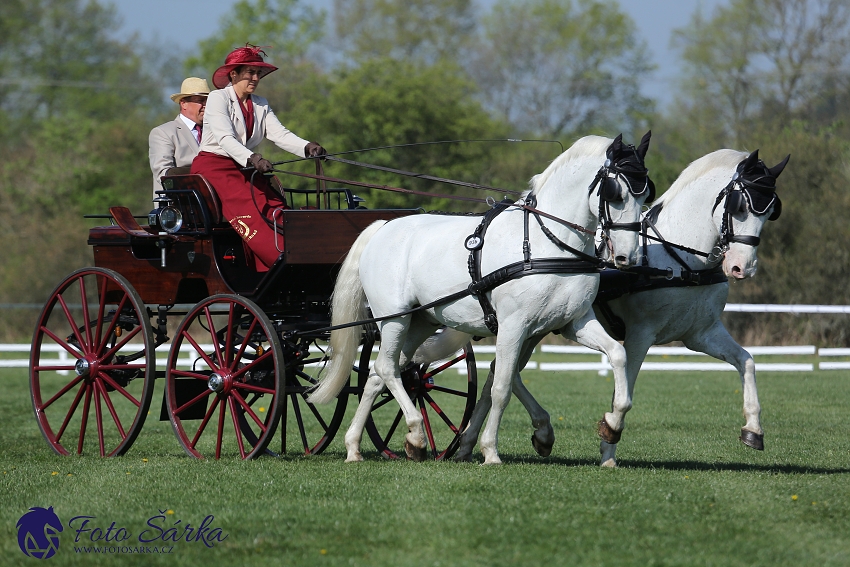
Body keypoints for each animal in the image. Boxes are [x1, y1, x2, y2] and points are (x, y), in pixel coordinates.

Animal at [308, 134, 652, 466]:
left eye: (645, 194)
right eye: (615, 193)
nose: (628, 257)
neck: (547, 244)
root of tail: (382, 228)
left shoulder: (572, 323)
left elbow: (617, 354)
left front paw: (611, 424)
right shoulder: (514, 326)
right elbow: (501, 387)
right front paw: (490, 451)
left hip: (419, 321)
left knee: (380, 374)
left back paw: (355, 446)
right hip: (394, 318)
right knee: (387, 369)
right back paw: (416, 435)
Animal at [444, 149, 788, 468]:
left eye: (771, 210)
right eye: (740, 206)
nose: (743, 267)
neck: (679, 258)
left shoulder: (701, 333)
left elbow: (747, 362)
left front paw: (753, 430)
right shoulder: (640, 334)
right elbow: (624, 387)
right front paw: (609, 440)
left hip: (533, 327)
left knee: (499, 372)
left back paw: (471, 443)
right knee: (503, 371)